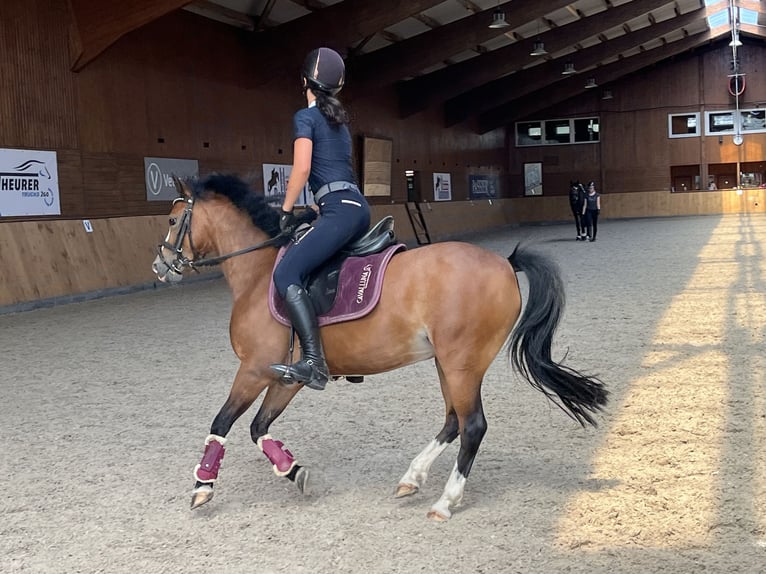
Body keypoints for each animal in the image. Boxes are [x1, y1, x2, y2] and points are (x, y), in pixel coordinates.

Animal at [152, 173, 608, 524]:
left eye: (173, 219)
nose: (160, 266)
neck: (260, 271)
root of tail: (504, 263)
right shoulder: (286, 377)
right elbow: (258, 427)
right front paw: (292, 470)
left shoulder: (255, 368)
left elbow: (223, 422)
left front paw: (203, 485)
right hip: (449, 364)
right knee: (453, 421)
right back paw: (412, 478)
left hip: (461, 363)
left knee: (473, 426)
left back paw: (445, 501)